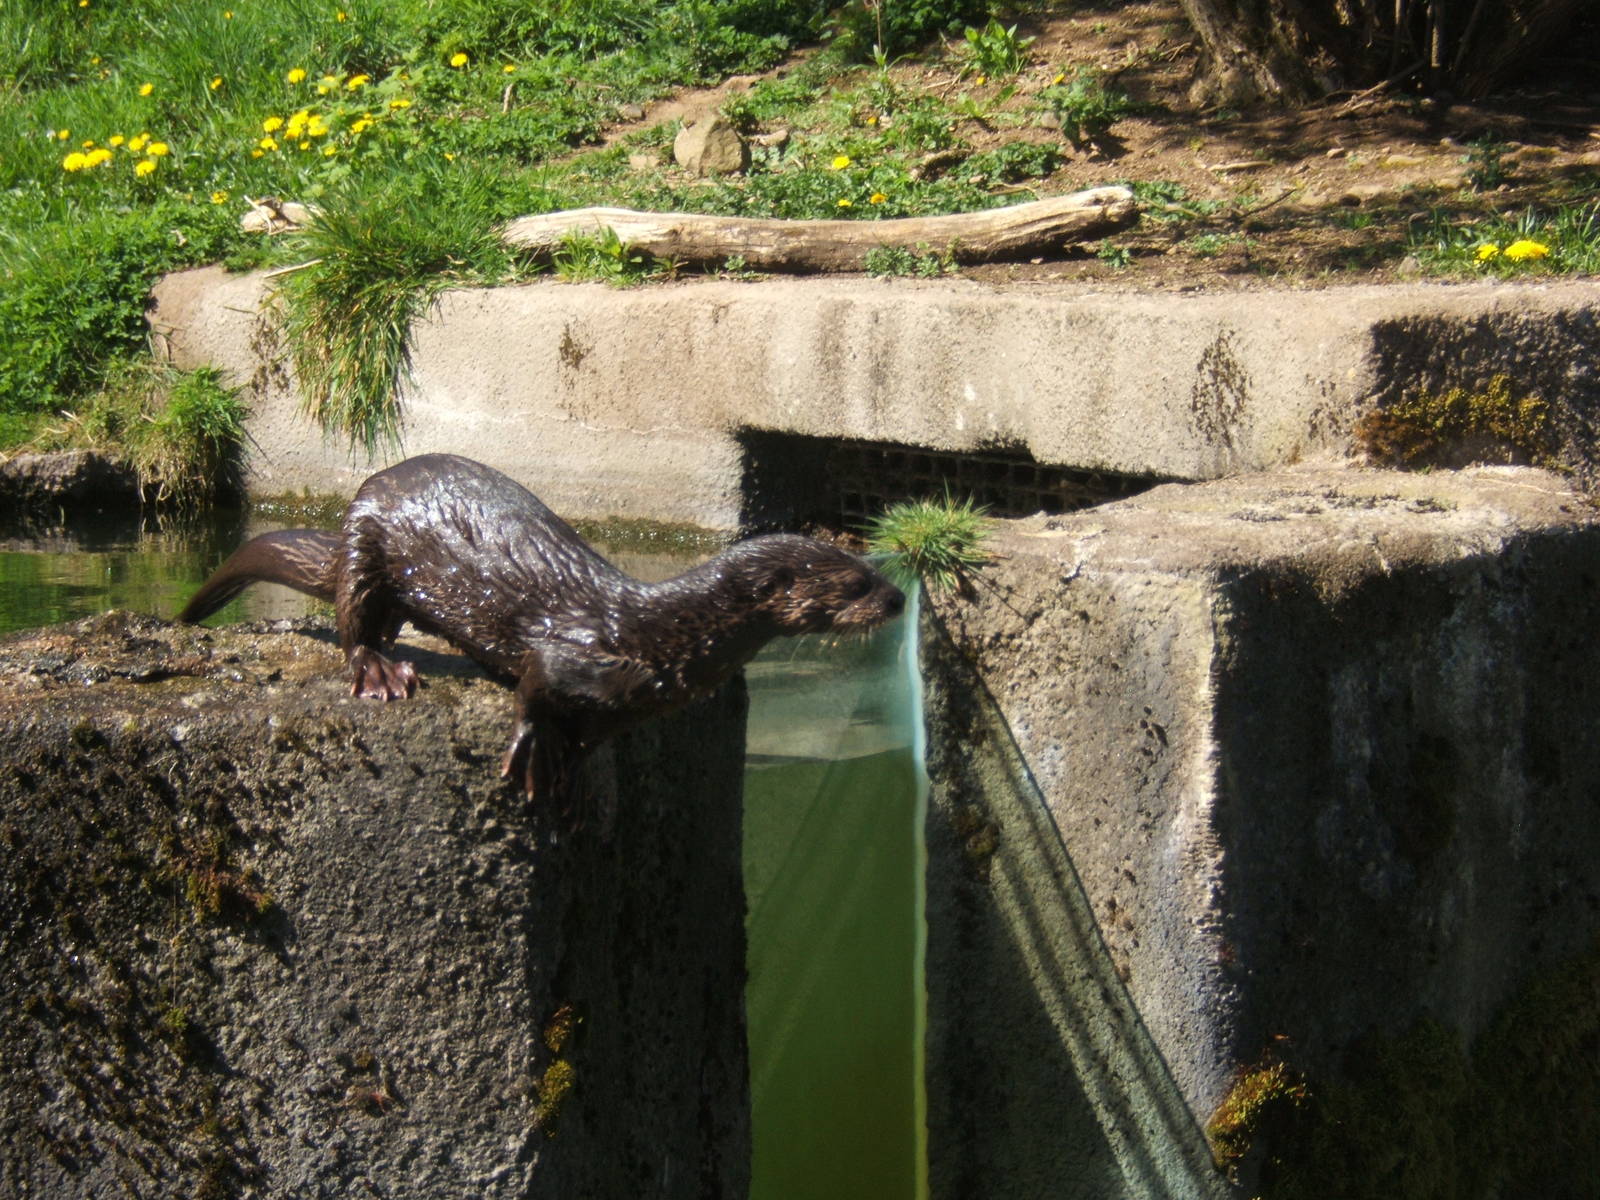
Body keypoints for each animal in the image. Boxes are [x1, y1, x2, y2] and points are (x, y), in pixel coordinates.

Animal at [180, 454, 904, 800]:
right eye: (856, 584)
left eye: (871, 565)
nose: (899, 598)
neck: (664, 634)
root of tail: (363, 492)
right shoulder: (579, 652)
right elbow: (534, 685)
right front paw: (538, 749)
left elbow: (596, 734)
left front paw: (576, 766)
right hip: (365, 541)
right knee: (352, 620)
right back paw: (380, 669)